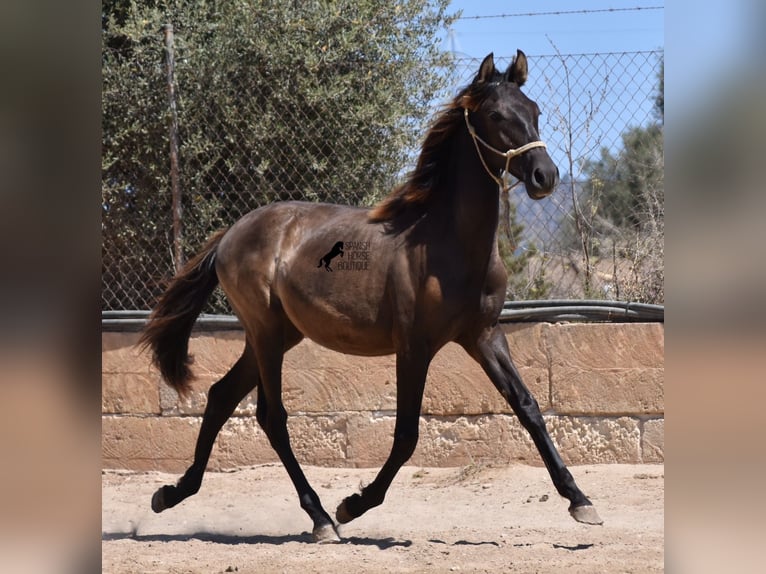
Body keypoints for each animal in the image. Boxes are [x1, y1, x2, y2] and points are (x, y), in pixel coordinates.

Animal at [141, 53, 604, 544]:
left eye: (535, 111)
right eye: (496, 115)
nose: (545, 176)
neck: (446, 244)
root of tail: (231, 233)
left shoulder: (483, 336)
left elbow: (529, 408)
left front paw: (580, 501)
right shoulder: (414, 347)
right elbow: (406, 435)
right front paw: (353, 504)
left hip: (277, 335)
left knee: (221, 397)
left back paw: (170, 494)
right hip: (265, 332)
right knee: (273, 417)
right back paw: (321, 519)